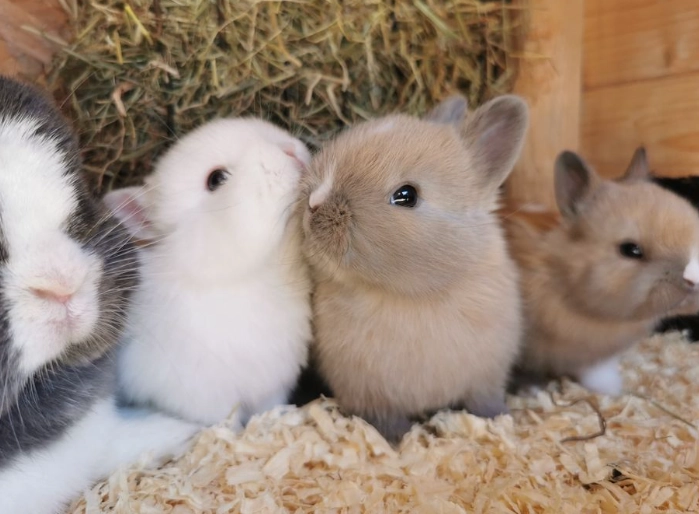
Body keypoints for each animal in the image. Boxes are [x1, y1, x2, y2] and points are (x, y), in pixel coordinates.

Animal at [104, 117, 313, 427]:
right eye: (216, 179)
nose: (290, 150)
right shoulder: (209, 401)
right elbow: (229, 424)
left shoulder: (273, 387)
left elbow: (267, 410)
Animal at [296, 94, 529, 442]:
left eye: (406, 195)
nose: (314, 202)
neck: (414, 296)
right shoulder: (369, 392)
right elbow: (387, 419)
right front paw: (400, 439)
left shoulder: (487, 375)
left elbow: (482, 399)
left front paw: (498, 419)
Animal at [503, 147, 699, 396]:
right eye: (631, 250)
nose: (693, 278)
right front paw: (531, 389)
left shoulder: (595, 355)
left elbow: (596, 372)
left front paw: (613, 389)